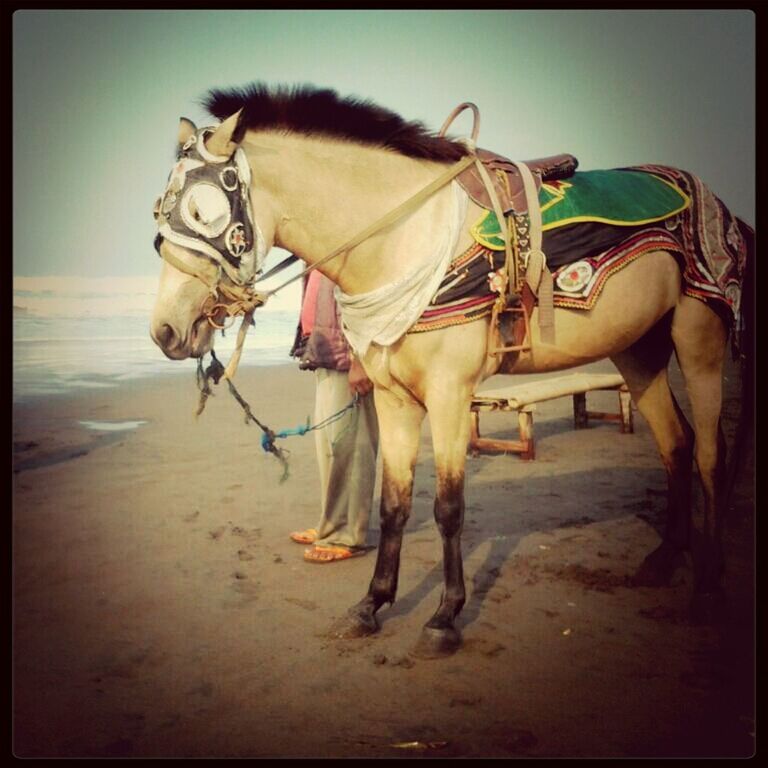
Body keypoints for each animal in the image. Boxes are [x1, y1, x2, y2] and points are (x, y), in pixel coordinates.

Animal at [148, 85, 752, 660]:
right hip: (639, 348)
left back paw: (707, 585)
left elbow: (448, 508)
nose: (164, 331)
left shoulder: (449, 396)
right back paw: (664, 559)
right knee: (675, 443)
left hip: (698, 338)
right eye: (160, 215)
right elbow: (393, 505)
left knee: (708, 453)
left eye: (201, 213)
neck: (401, 241)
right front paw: (372, 604)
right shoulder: (393, 399)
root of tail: (724, 209)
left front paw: (444, 616)